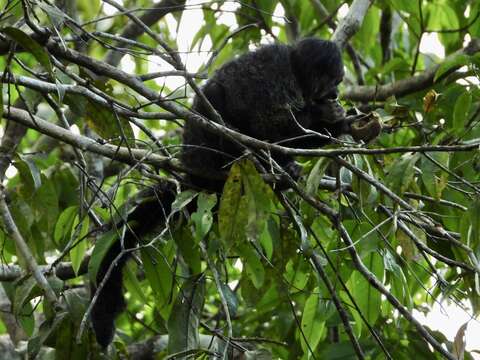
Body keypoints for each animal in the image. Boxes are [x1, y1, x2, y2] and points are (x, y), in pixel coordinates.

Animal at [91, 38, 376, 348]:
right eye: (332, 82)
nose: (335, 94)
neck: (296, 70)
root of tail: (195, 174)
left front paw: (346, 123)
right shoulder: (275, 71)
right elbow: (268, 121)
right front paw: (328, 117)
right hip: (209, 151)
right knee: (225, 108)